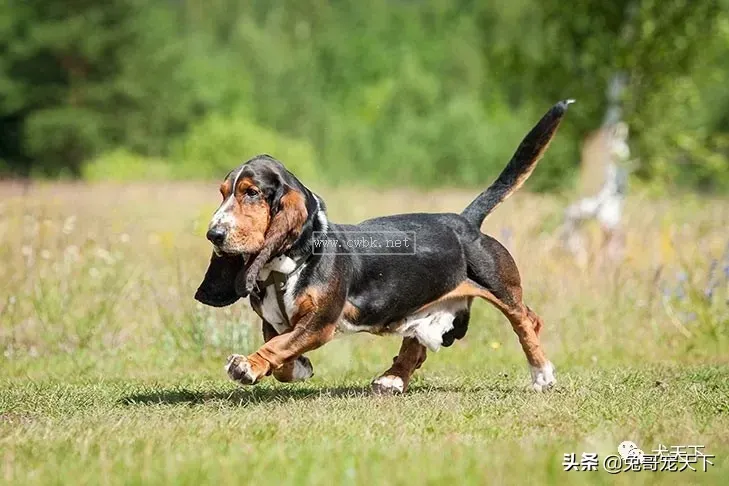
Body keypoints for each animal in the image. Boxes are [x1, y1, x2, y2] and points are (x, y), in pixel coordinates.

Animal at [196, 100, 572, 392]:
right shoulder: (274, 323)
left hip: (500, 287)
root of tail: (464, 221)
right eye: (223, 192)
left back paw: (542, 374)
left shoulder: (319, 323)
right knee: (417, 346)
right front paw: (299, 367)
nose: (214, 234)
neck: (286, 267)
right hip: (424, 309)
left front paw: (247, 365)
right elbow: (282, 351)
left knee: (526, 321)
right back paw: (392, 379)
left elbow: (278, 346)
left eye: (251, 193)